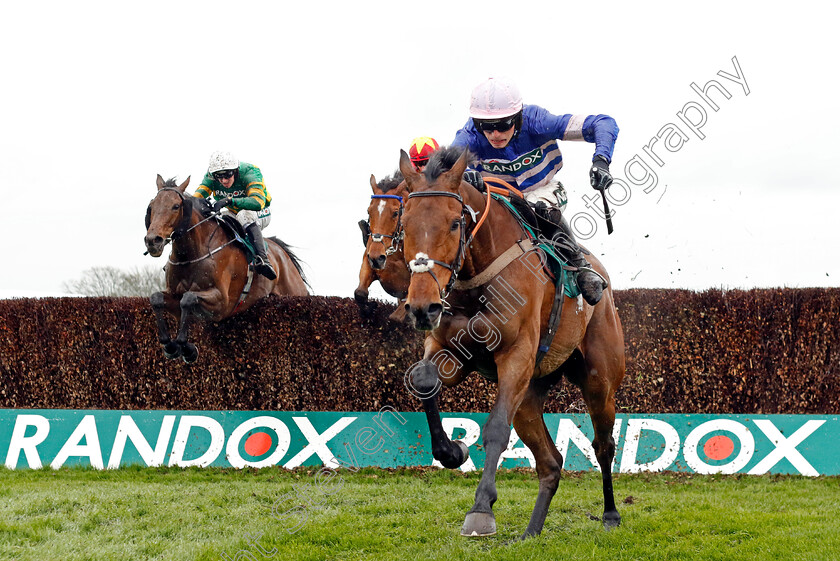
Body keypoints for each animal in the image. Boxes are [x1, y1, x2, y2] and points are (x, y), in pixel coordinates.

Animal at [144, 173, 308, 360]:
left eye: (175, 206)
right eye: (151, 206)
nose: (152, 241)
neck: (192, 255)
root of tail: (281, 252)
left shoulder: (222, 303)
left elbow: (188, 299)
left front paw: (186, 348)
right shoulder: (173, 294)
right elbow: (157, 298)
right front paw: (170, 345)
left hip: (294, 292)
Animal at [352, 171, 410, 322]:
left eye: (395, 213)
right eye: (369, 211)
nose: (377, 258)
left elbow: (396, 317)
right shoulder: (368, 259)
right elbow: (360, 293)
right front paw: (370, 308)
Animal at [398, 148, 624, 540]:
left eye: (454, 223)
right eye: (405, 224)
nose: (423, 307)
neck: (476, 280)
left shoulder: (516, 356)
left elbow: (496, 429)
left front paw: (480, 509)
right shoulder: (450, 351)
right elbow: (424, 380)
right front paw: (452, 452)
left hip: (600, 381)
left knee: (603, 445)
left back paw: (610, 514)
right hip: (529, 397)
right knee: (551, 463)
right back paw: (531, 533)